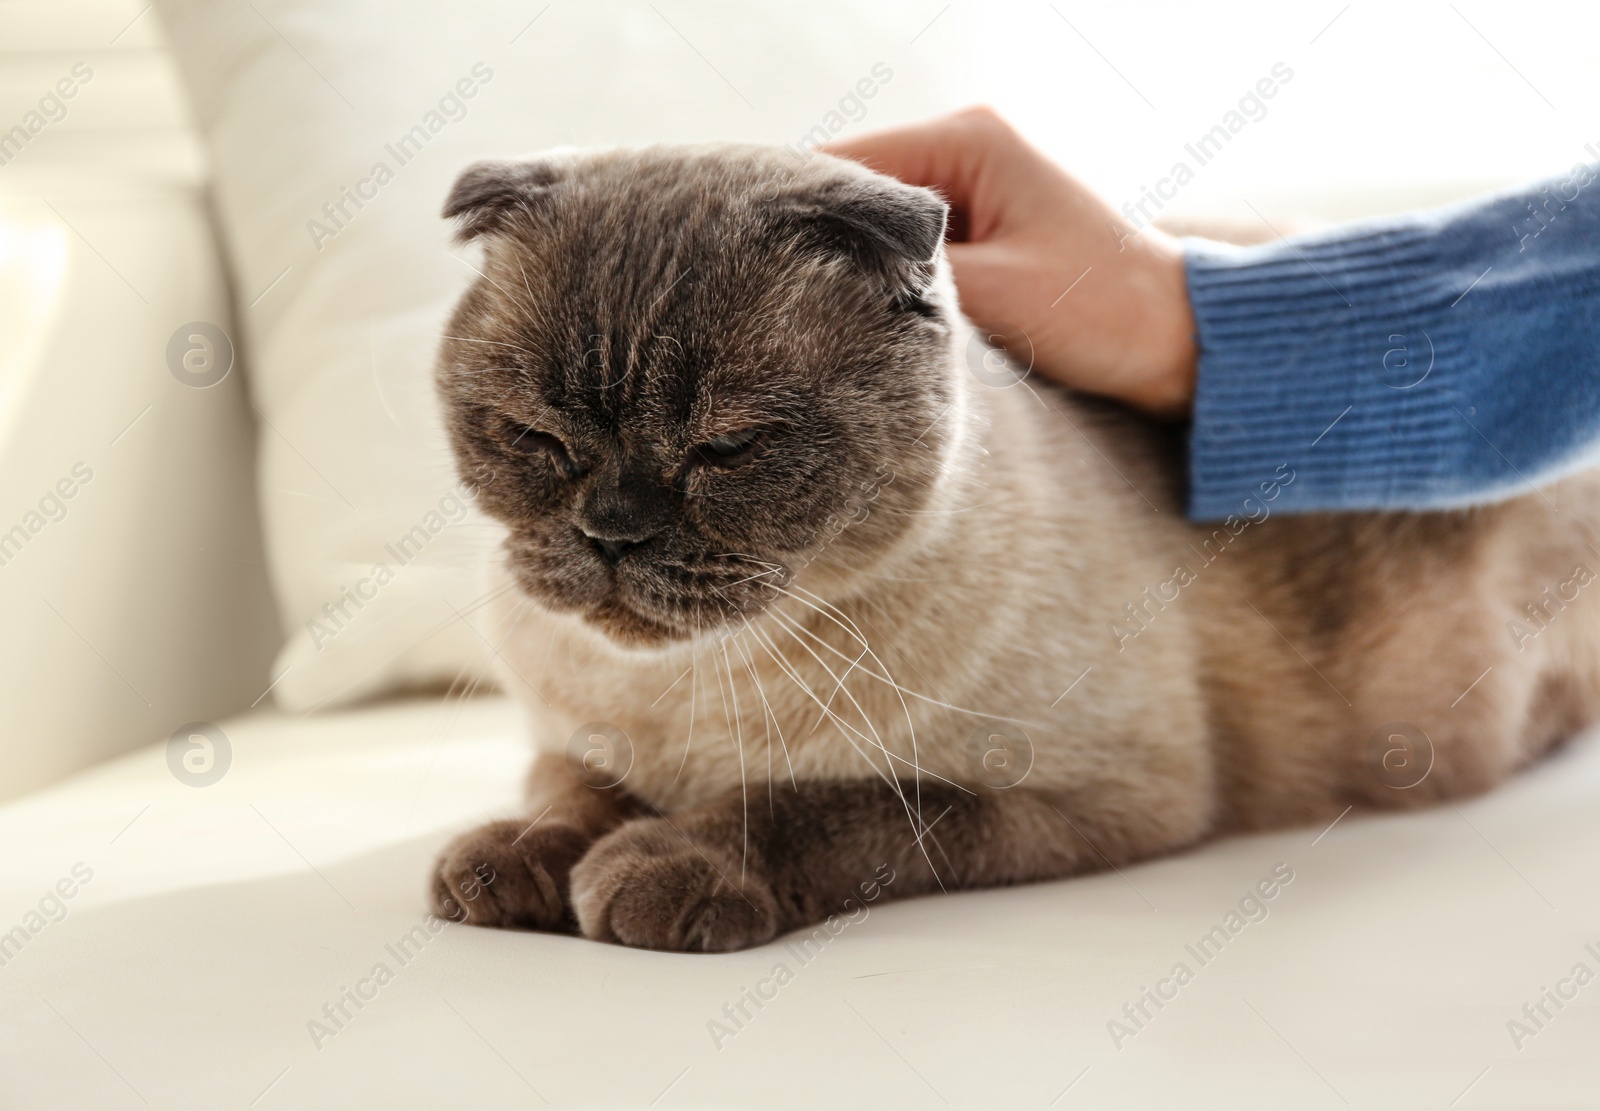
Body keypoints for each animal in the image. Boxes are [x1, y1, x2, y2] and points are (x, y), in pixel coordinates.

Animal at [425, 143, 1600, 954]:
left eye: (727, 447)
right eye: (533, 437)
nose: (611, 531)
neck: (693, 696)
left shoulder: (1077, 796)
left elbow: (818, 807)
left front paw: (654, 869)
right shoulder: (571, 738)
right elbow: (565, 795)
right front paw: (507, 864)